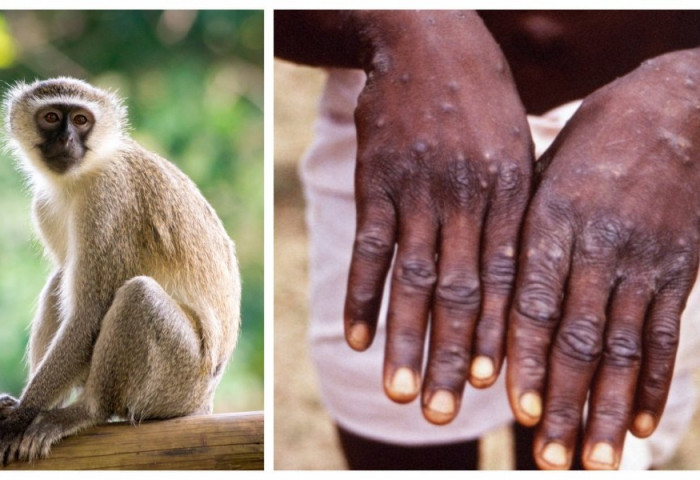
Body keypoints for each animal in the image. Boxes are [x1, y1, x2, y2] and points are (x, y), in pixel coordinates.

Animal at [0, 78, 241, 464]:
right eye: (51, 117)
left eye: (81, 120)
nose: (66, 139)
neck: (83, 175)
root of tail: (203, 402)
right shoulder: (45, 205)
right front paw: (21, 409)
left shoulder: (108, 201)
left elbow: (91, 312)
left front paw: (21, 417)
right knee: (61, 279)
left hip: (180, 381)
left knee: (137, 296)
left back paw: (86, 411)